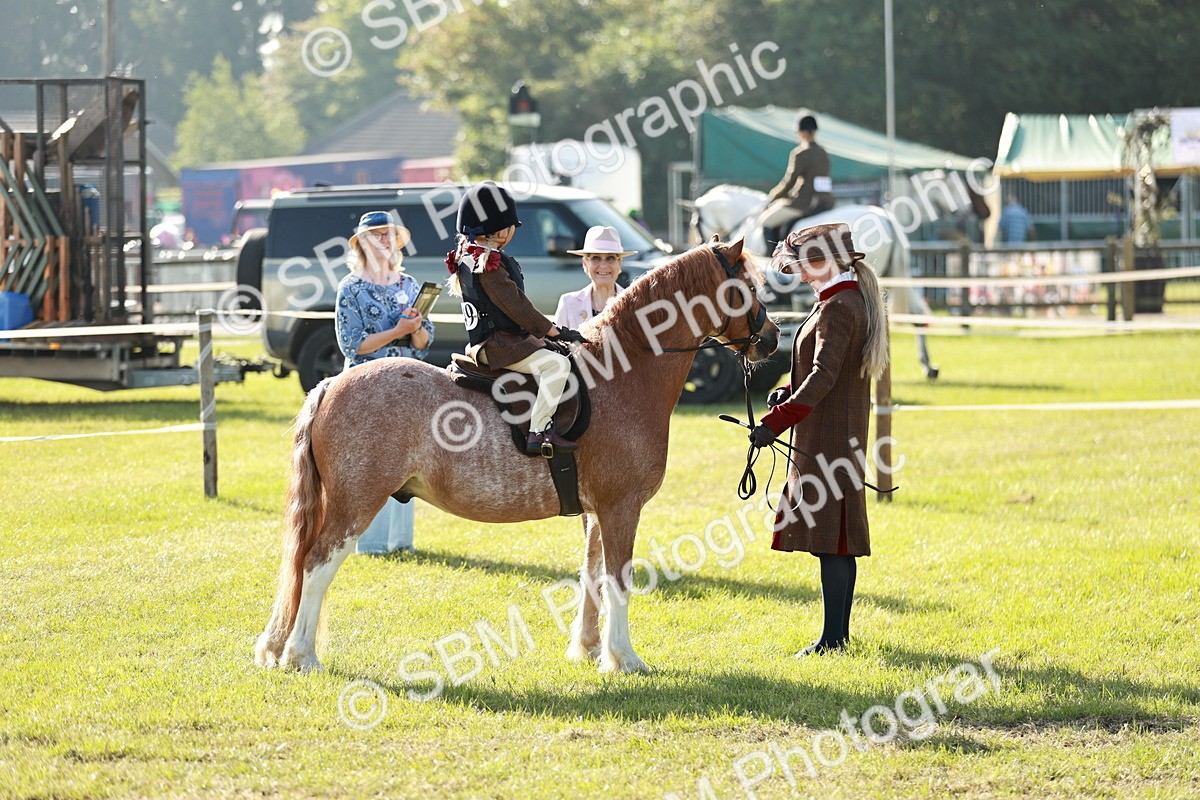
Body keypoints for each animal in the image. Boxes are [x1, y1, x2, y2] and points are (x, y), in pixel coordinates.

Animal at [254, 238, 779, 675]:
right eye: (748, 287)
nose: (773, 338)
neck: (624, 371)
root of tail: (331, 384)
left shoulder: (597, 512)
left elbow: (592, 577)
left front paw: (588, 650)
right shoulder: (621, 508)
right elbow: (618, 581)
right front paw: (623, 659)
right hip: (355, 504)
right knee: (316, 565)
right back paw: (301, 657)